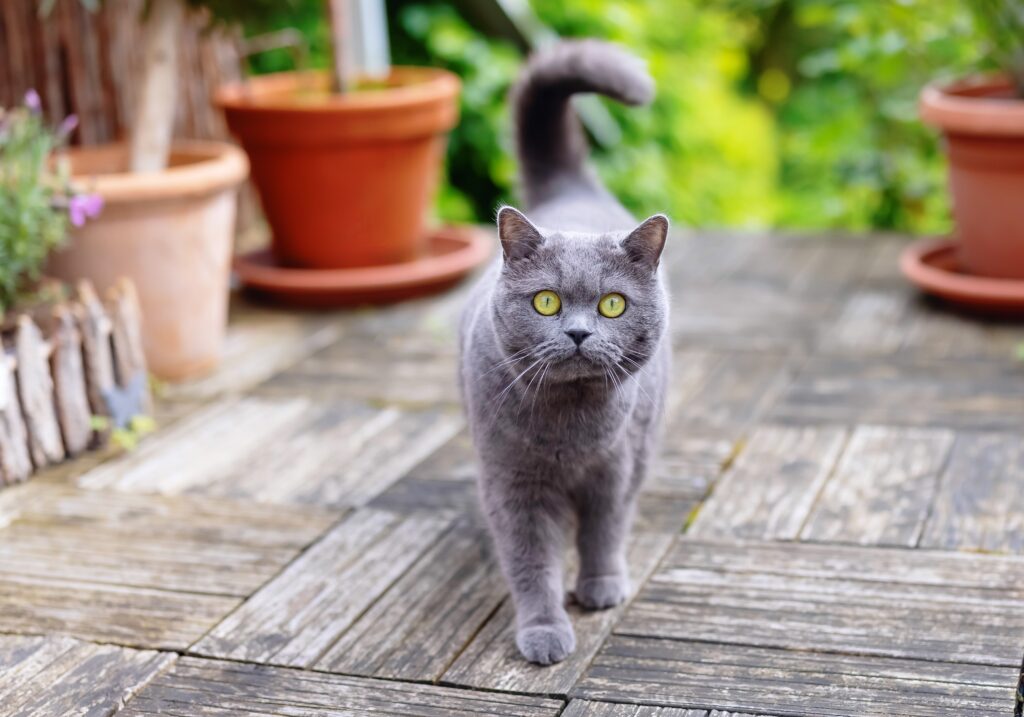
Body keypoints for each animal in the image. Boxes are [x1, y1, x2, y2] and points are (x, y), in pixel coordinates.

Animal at [458, 40, 671, 667]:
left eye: (612, 305)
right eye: (547, 301)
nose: (578, 333)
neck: (569, 429)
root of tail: (571, 193)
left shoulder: (615, 470)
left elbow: (604, 532)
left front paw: (600, 588)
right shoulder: (513, 485)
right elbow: (531, 562)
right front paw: (545, 630)